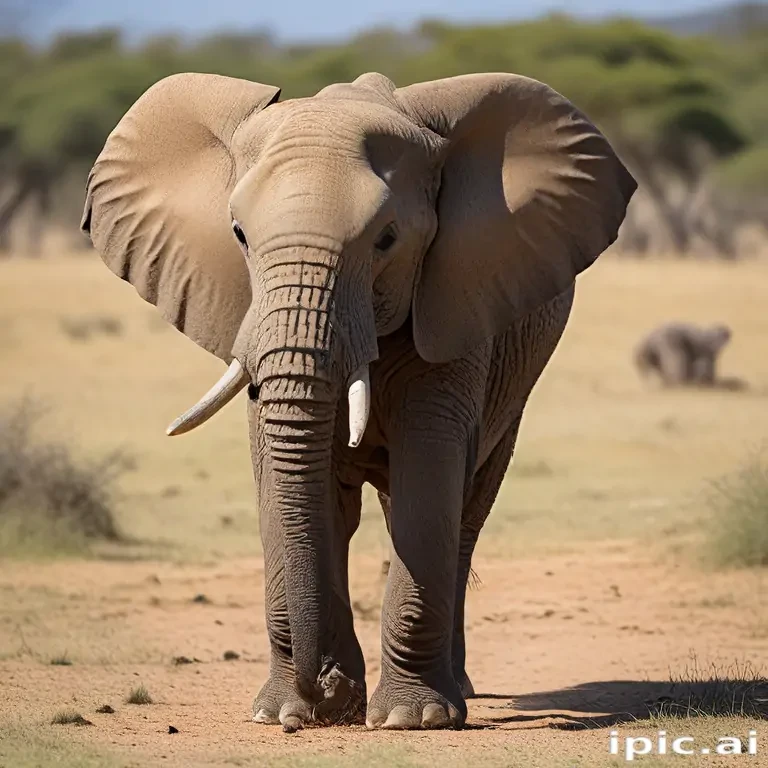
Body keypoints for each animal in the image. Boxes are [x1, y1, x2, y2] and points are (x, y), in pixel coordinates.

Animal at [81, 71, 636, 731]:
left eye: (387, 240)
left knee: (464, 509)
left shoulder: (453, 301)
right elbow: (290, 478)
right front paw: (286, 710)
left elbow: (430, 469)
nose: (319, 695)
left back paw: (457, 691)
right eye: (238, 235)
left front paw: (411, 719)